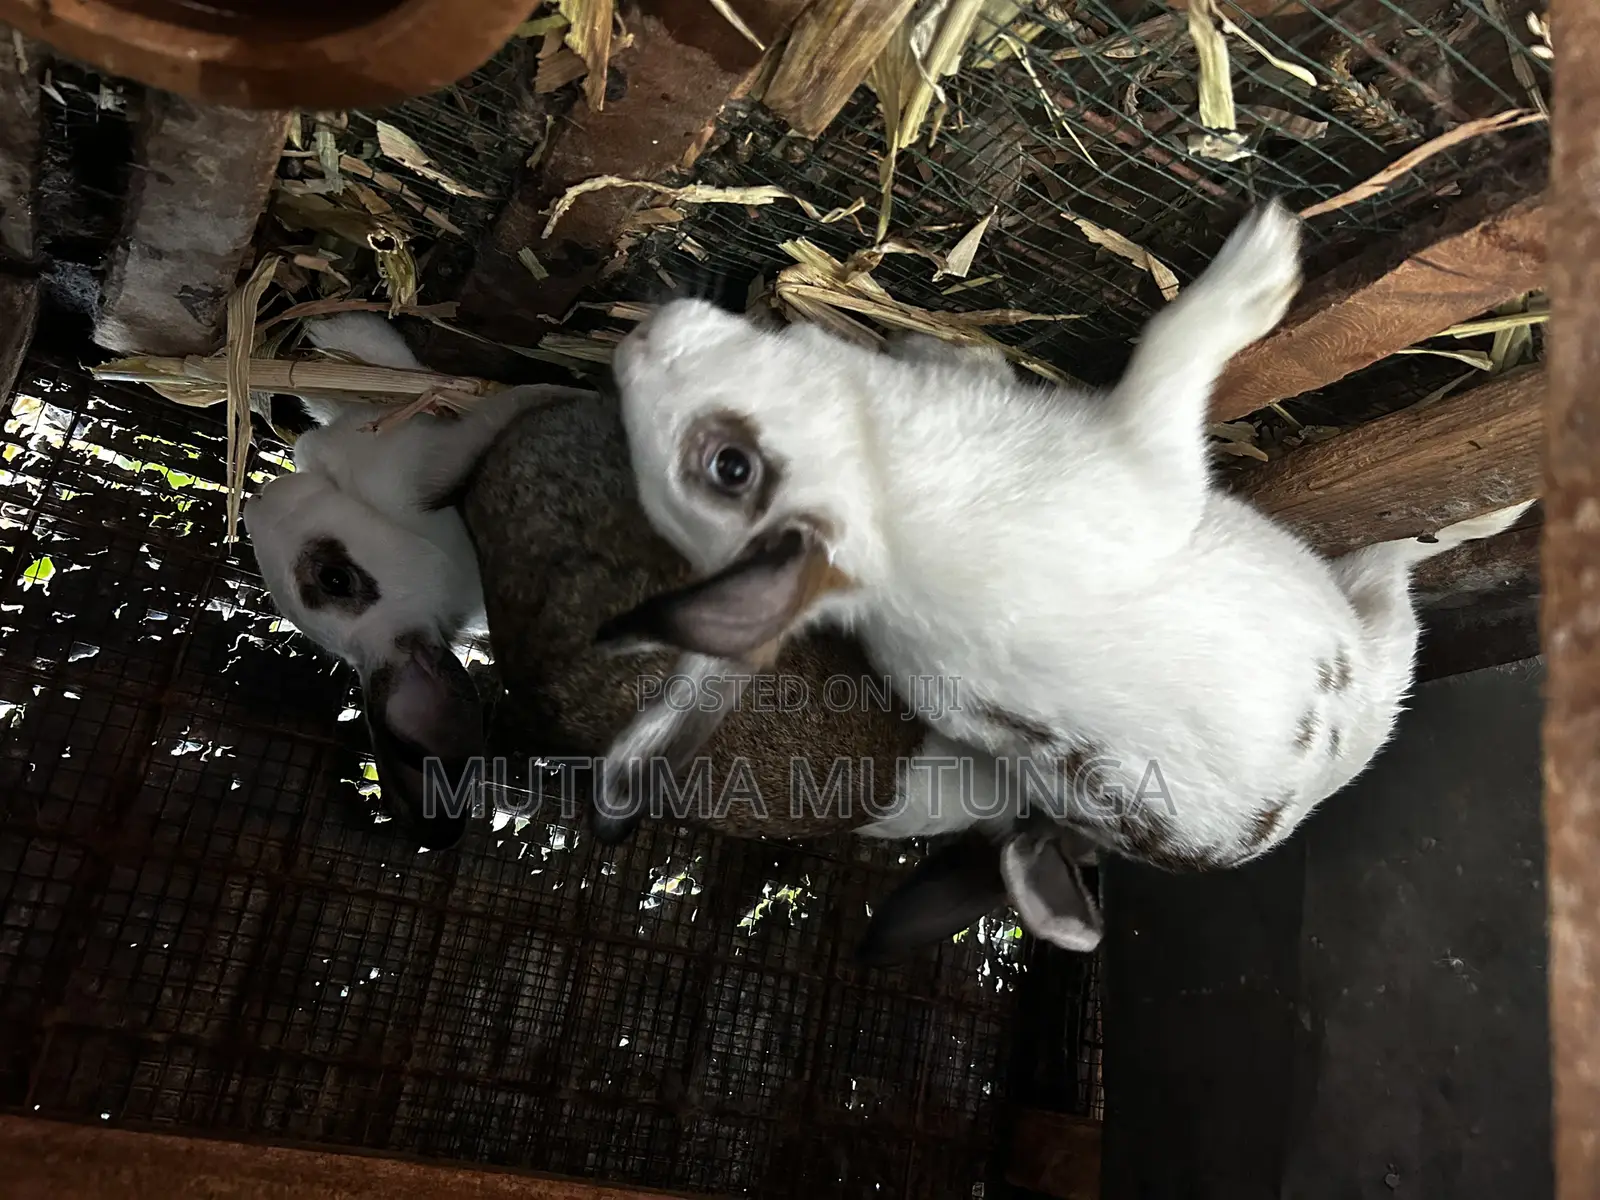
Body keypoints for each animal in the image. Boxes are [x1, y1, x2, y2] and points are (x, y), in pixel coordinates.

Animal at [585, 198, 1537, 925]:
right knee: (1395, 565)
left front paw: (950, 349)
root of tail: (1315, 797)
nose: (636, 343)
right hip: (1378, 637)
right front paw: (1259, 265)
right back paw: (1498, 510)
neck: (885, 484)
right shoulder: (1142, 475)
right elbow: (1168, 352)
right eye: (729, 469)